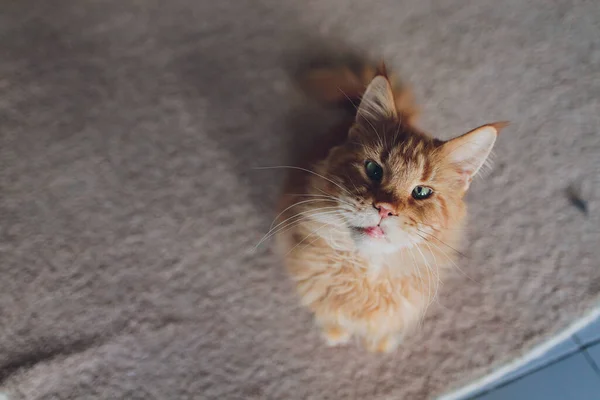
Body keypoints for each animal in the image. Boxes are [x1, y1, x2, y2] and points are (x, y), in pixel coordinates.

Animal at [274, 60, 504, 354]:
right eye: (374, 170)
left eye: (421, 192)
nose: (384, 209)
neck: (368, 271)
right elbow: (330, 318)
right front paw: (335, 336)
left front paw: (379, 346)